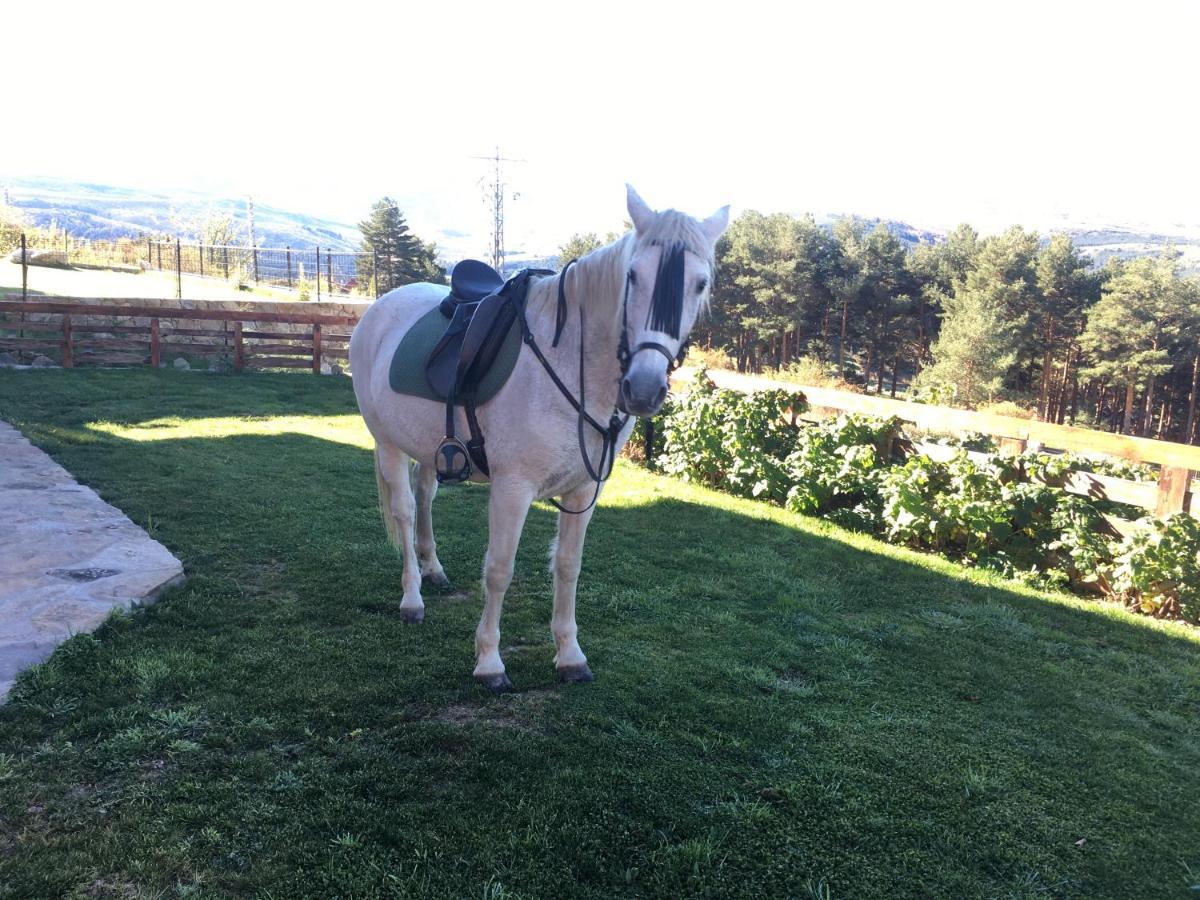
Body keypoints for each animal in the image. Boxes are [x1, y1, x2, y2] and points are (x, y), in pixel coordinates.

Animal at [345, 183, 720, 691]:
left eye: (700, 283)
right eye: (633, 276)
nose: (643, 389)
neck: (568, 366)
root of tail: (379, 309)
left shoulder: (584, 490)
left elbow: (567, 566)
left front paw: (570, 654)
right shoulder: (512, 488)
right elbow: (499, 570)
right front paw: (489, 661)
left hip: (428, 448)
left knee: (425, 499)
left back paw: (434, 569)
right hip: (387, 444)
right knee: (404, 511)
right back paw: (412, 599)